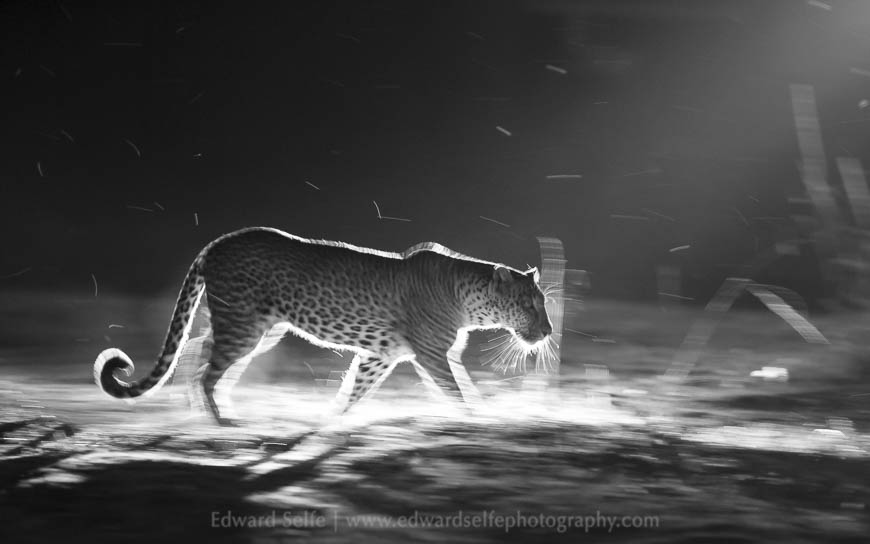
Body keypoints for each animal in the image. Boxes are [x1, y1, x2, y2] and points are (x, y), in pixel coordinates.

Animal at [94, 227, 553, 425]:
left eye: (544, 304)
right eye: (530, 305)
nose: (548, 330)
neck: (469, 300)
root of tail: (216, 242)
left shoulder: (381, 355)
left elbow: (357, 389)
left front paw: (334, 418)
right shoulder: (432, 355)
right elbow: (458, 391)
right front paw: (481, 419)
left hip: (257, 327)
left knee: (196, 349)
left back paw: (187, 408)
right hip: (245, 327)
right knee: (208, 371)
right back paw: (221, 420)